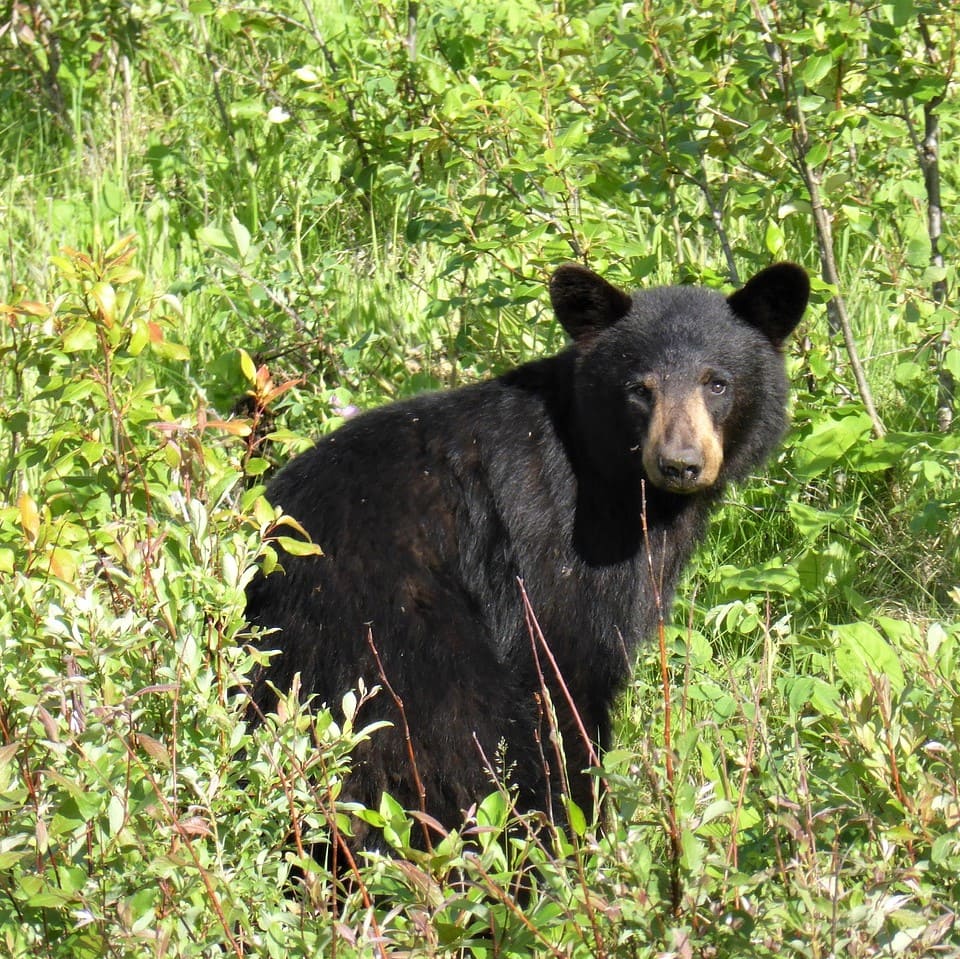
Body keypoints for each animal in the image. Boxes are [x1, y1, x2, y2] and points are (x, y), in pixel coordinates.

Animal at [244, 260, 808, 848]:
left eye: (717, 382)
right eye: (639, 389)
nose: (680, 463)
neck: (611, 477)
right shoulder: (556, 545)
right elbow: (568, 671)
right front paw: (586, 827)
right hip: (394, 642)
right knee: (458, 736)